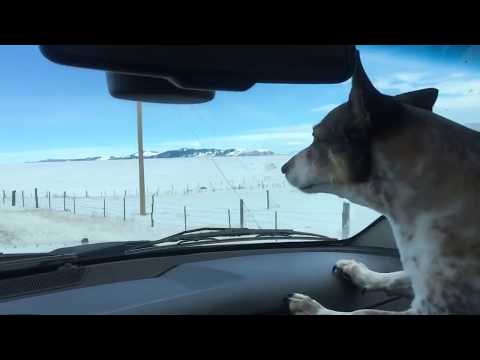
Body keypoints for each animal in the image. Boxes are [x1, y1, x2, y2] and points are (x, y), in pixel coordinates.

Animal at [284, 50, 480, 316]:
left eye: (315, 137)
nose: (283, 168)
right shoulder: (421, 278)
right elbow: (396, 276)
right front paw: (358, 272)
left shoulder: (435, 304)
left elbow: (363, 312)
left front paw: (313, 307)